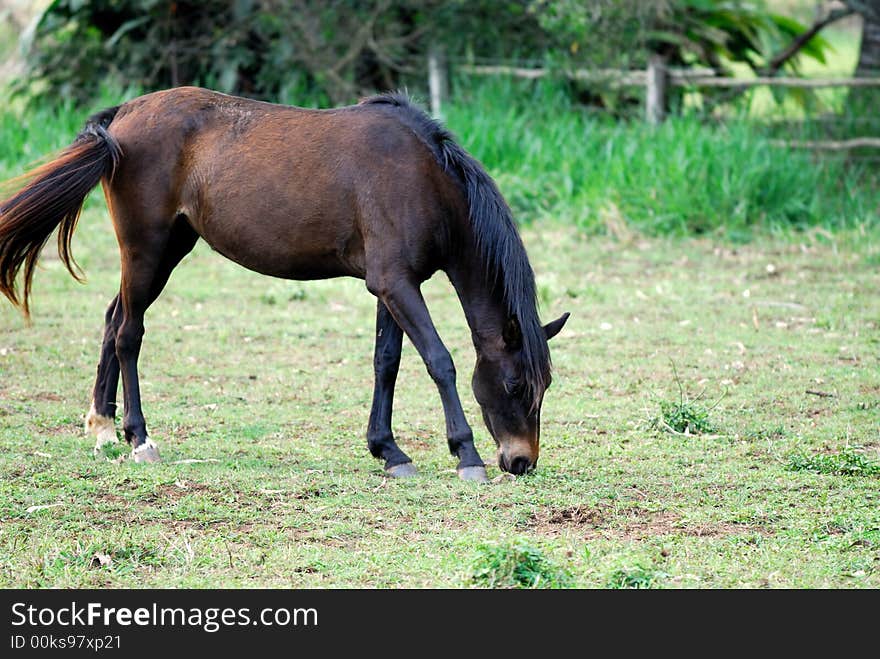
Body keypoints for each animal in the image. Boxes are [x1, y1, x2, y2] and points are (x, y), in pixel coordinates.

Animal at [0, 86, 572, 480]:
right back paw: (139, 438)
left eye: (544, 387)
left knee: (112, 319)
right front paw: (466, 455)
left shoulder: (390, 287)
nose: (521, 461)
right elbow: (439, 361)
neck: (422, 178)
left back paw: (102, 428)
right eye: (516, 385)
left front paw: (388, 451)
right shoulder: (398, 286)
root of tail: (121, 116)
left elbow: (386, 363)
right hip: (147, 251)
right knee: (128, 334)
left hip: (165, 252)